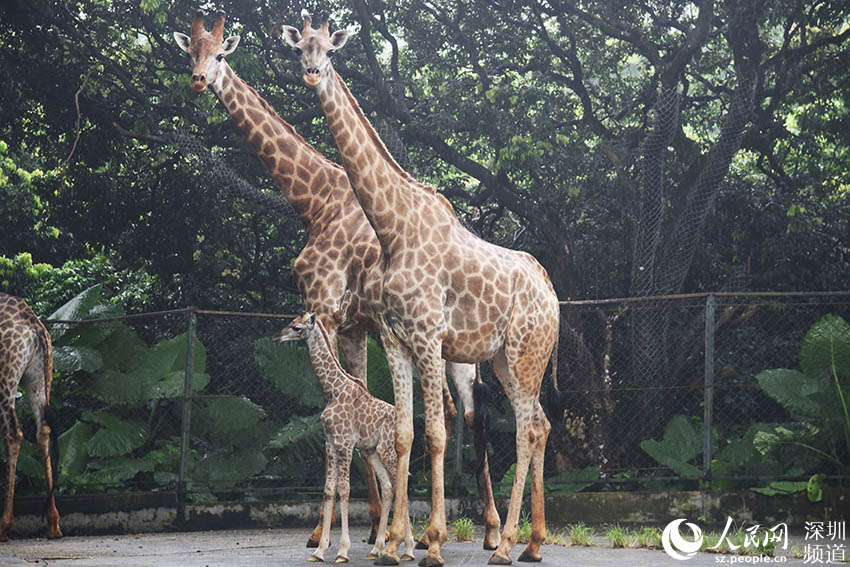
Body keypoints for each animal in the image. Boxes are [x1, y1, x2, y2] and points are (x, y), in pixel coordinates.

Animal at [274, 312, 416, 564]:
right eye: (291, 323)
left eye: (296, 327)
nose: (276, 337)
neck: (333, 390)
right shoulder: (330, 443)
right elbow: (329, 490)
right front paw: (319, 551)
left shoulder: (345, 443)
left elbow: (345, 489)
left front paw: (342, 551)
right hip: (374, 451)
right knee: (389, 487)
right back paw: (377, 548)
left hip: (388, 450)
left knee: (402, 484)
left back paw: (408, 549)